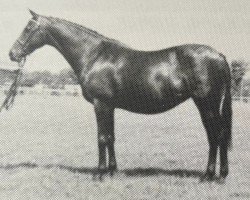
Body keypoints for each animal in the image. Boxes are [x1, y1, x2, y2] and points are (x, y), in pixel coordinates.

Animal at [9, 10, 232, 183]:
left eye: (28, 28)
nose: (12, 53)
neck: (94, 55)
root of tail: (219, 55)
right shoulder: (110, 106)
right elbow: (111, 137)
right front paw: (112, 171)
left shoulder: (100, 104)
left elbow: (101, 137)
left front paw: (100, 174)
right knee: (218, 135)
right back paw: (220, 175)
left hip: (207, 104)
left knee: (216, 135)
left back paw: (210, 176)